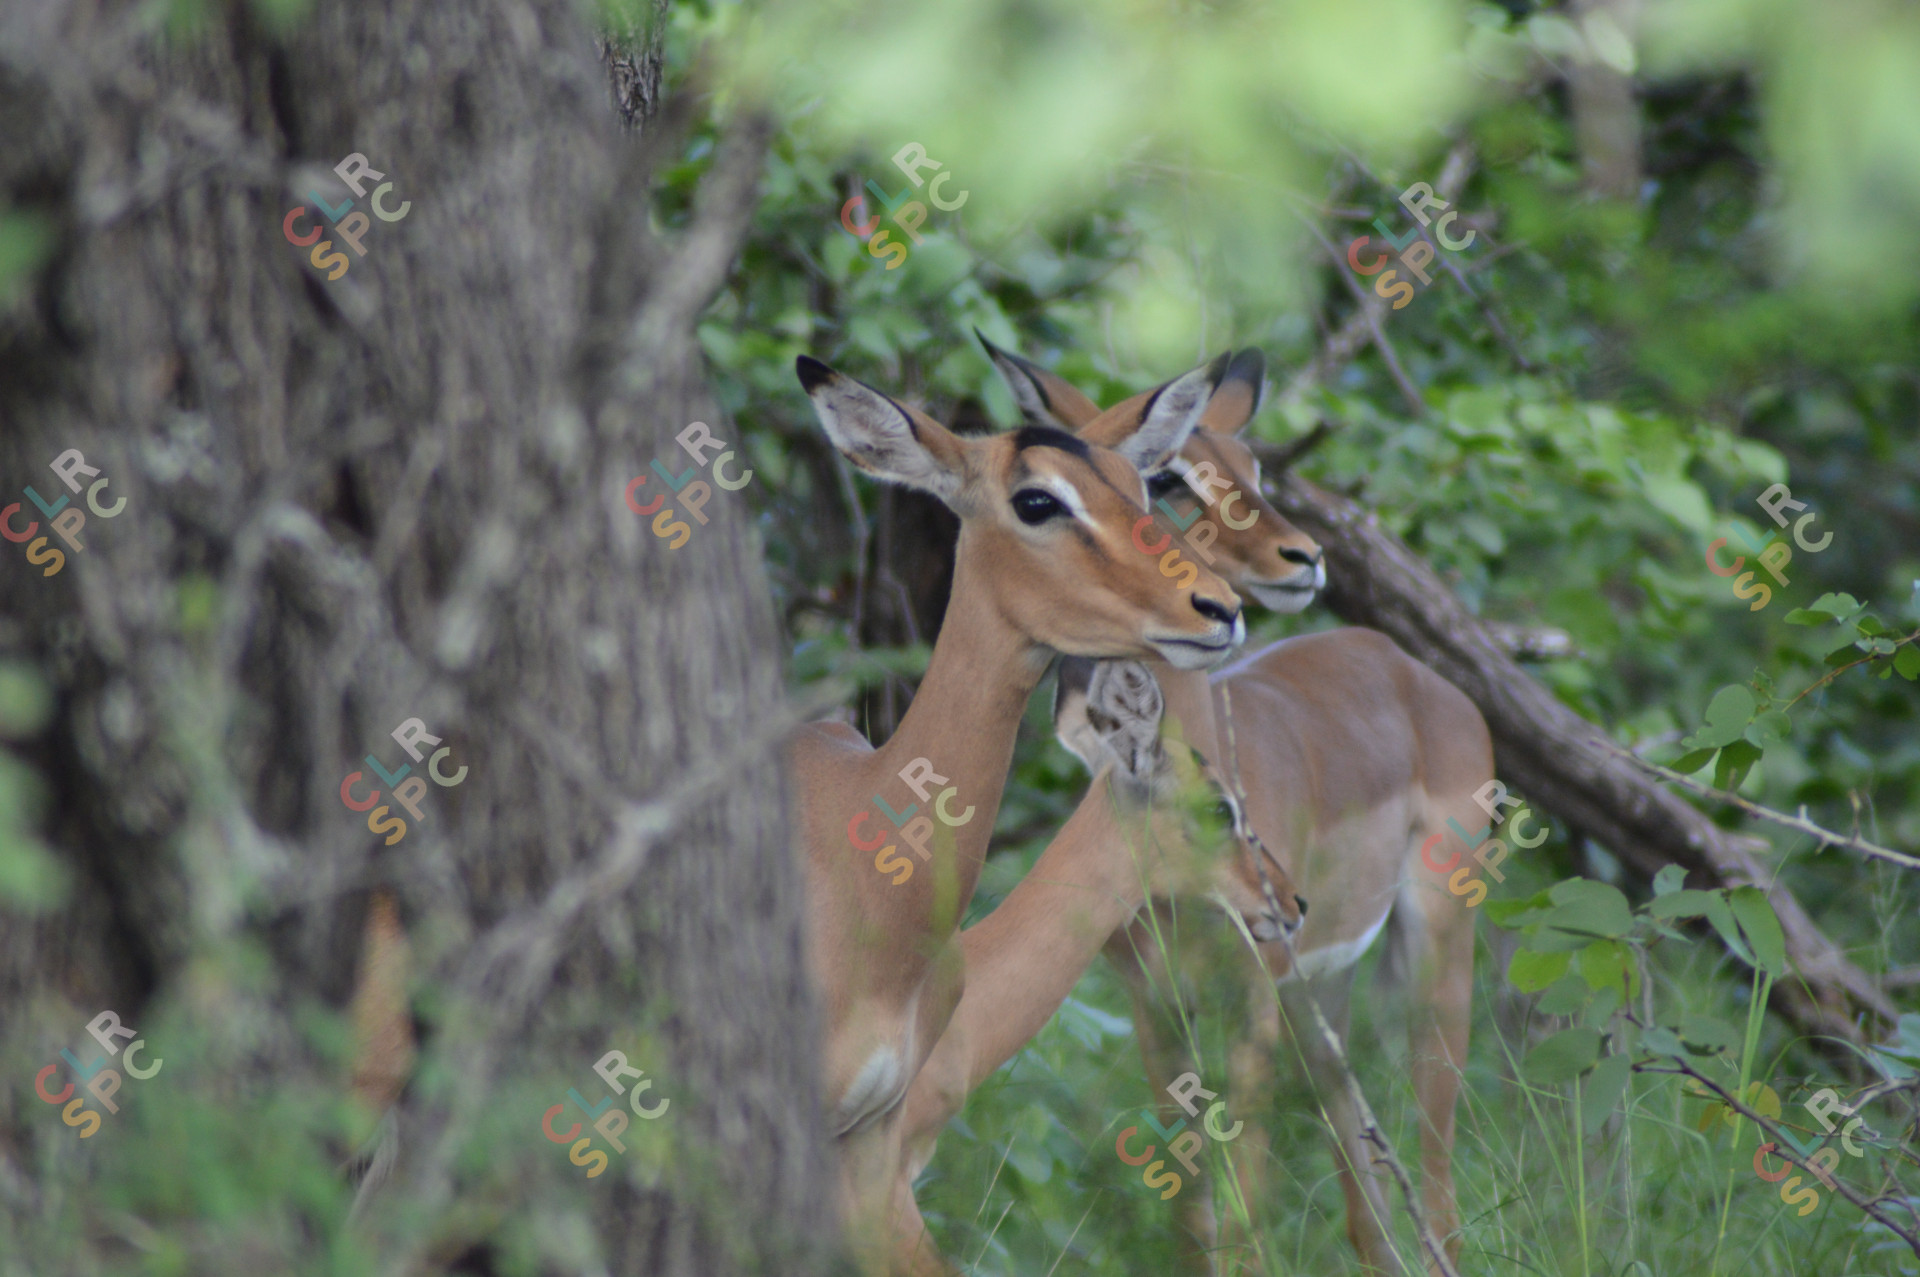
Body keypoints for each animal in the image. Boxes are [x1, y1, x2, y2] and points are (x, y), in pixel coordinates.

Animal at [889, 339, 1494, 1275]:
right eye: (1167, 477)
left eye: (1253, 463)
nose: (1302, 557)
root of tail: (1408, 667)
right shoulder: (1156, 1002)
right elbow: (1194, 1211)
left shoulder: (1254, 993)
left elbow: (1245, 1206)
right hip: (1331, 985)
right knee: (1365, 1188)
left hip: (1431, 950)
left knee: (1434, 1174)